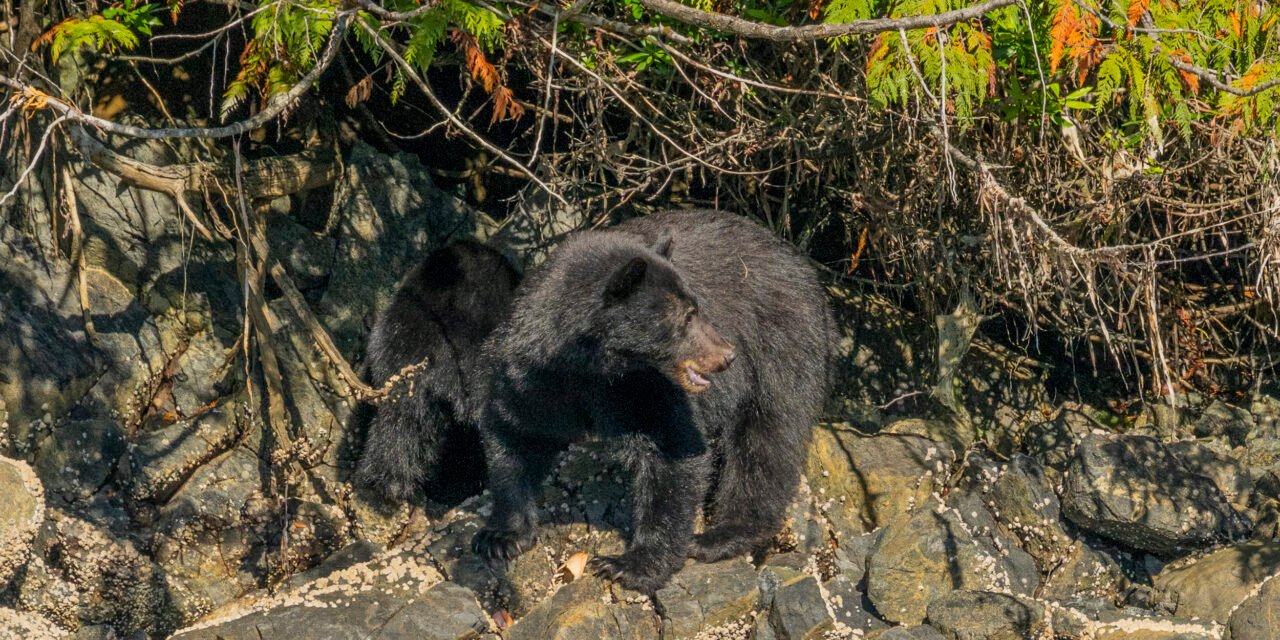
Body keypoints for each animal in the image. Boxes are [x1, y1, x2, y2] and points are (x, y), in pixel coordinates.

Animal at [471, 209, 835, 594]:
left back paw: (722, 534)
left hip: (782, 345)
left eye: (697, 307)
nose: (727, 355)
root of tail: (803, 265)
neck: (588, 370)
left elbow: (671, 452)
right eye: (687, 316)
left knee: (767, 441)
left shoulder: (645, 388)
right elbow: (514, 434)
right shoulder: (528, 376)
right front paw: (500, 536)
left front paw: (629, 564)